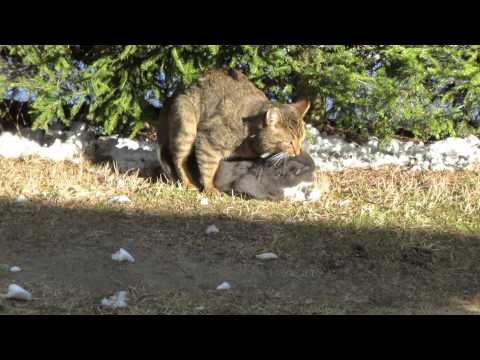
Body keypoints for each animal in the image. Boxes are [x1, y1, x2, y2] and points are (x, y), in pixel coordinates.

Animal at [165, 68, 310, 194]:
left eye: (302, 139)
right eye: (289, 142)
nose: (298, 152)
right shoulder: (207, 141)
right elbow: (208, 168)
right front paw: (210, 188)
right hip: (187, 128)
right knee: (179, 159)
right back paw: (187, 183)